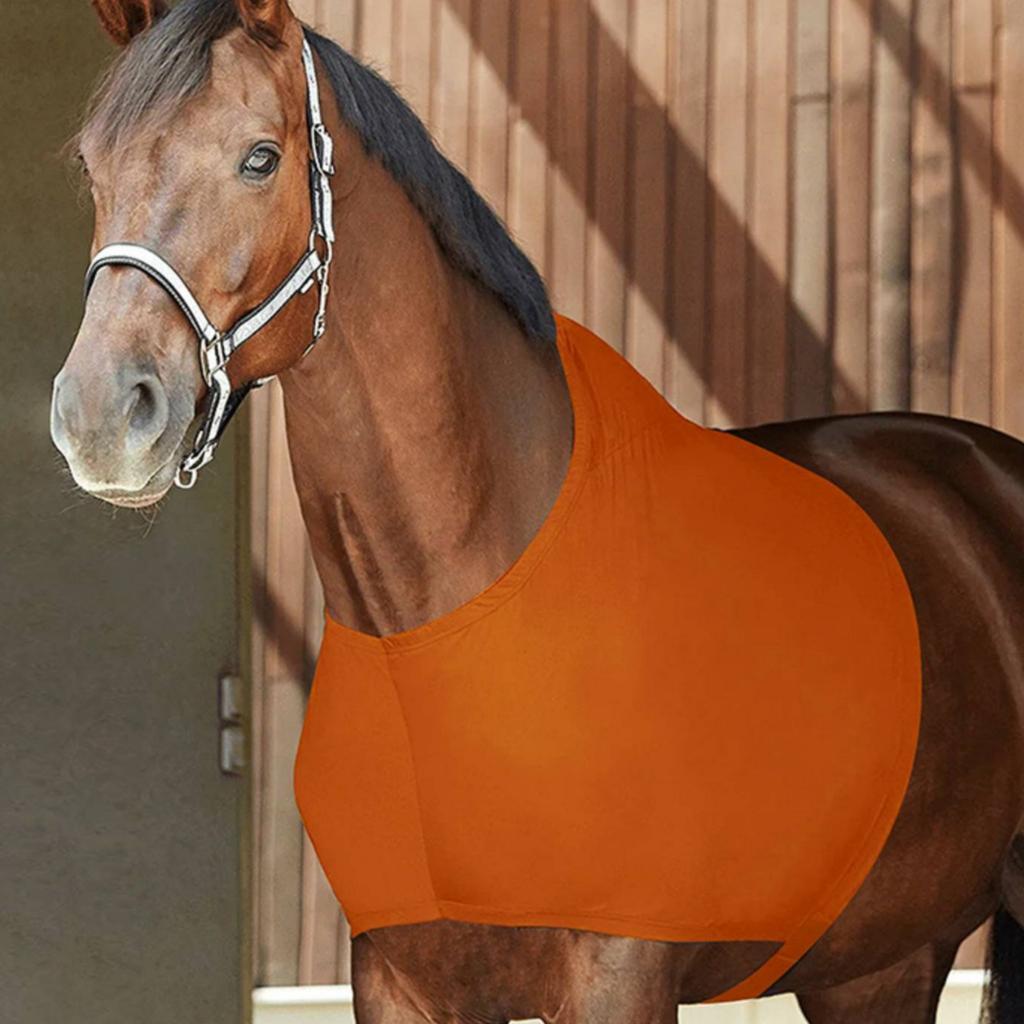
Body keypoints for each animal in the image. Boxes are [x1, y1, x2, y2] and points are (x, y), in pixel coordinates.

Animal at [50, 1, 1024, 1021]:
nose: (101, 414)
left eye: (260, 158)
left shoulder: (618, 976)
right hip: (877, 967)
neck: (447, 625)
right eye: (92, 165)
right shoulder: (398, 980)